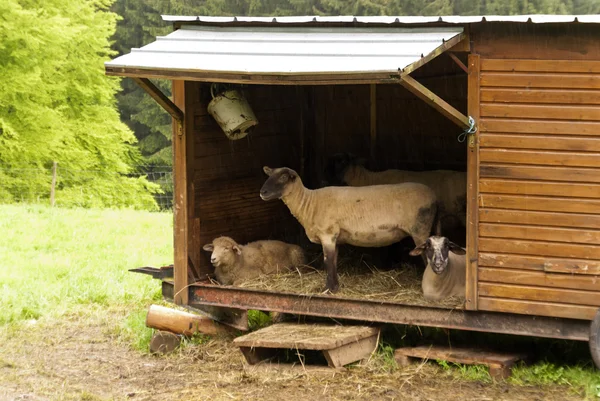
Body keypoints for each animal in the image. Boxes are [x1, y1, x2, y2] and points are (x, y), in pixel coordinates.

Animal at [258, 164, 436, 292]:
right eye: (269, 175)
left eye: (283, 177)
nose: (262, 192)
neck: (309, 203)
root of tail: (434, 197)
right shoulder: (335, 238)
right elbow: (334, 261)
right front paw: (333, 287)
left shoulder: (327, 234)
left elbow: (327, 261)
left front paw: (329, 290)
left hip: (420, 229)